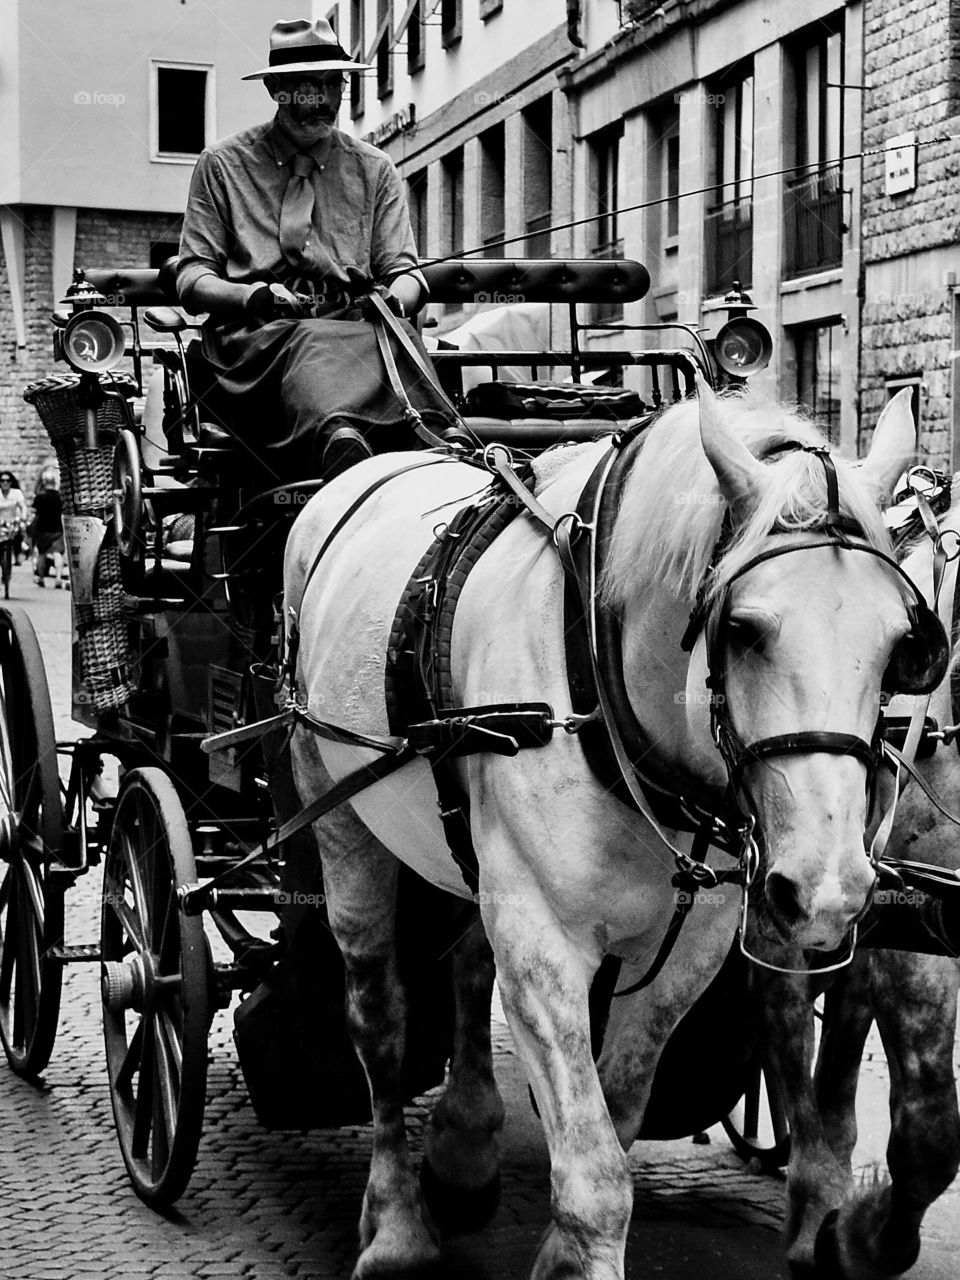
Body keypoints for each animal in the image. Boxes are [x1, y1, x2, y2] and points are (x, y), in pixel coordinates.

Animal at [284, 384, 942, 1274]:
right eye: (743, 629)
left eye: (904, 642)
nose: (830, 890)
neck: (599, 686)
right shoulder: (543, 943)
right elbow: (596, 1179)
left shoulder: (688, 952)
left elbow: (617, 1116)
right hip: (336, 810)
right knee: (379, 1020)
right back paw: (394, 1226)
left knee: (466, 969)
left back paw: (462, 1150)